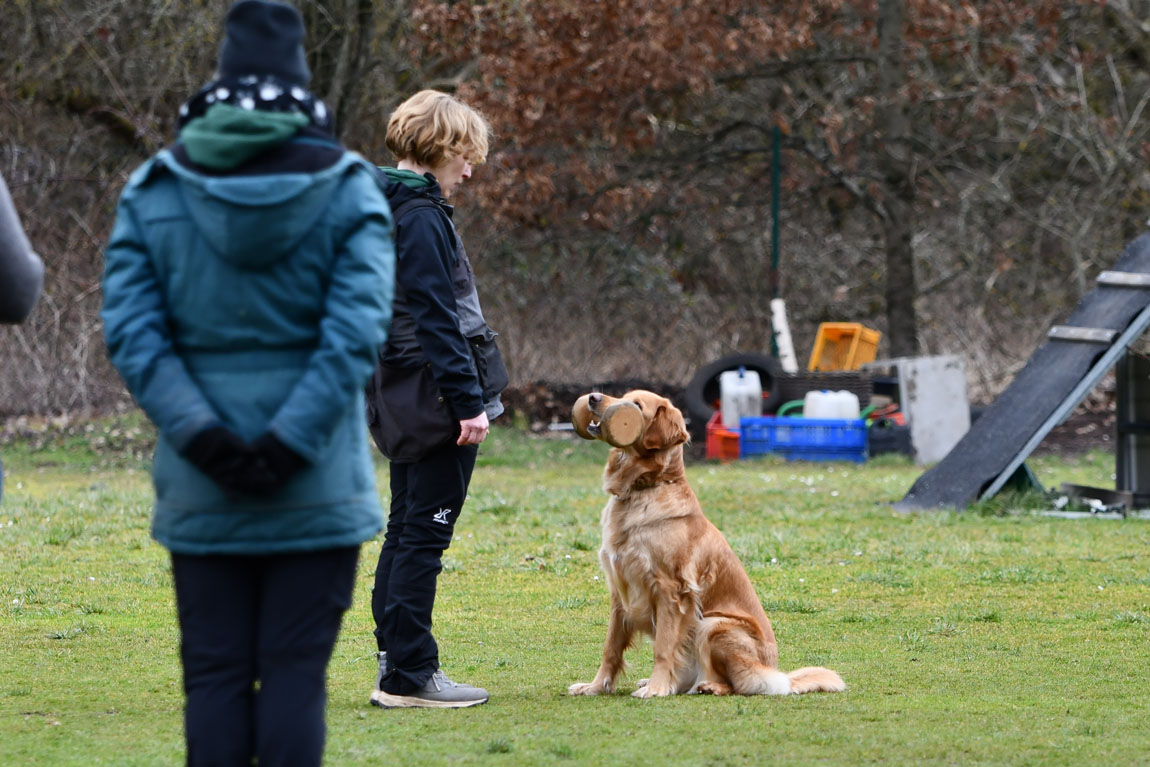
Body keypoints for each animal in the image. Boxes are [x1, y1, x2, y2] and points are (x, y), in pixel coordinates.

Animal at [568, 393, 846, 699]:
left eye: (637, 406)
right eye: (623, 397)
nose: (593, 398)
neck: (642, 490)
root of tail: (773, 670)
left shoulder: (672, 590)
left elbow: (663, 648)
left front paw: (657, 688)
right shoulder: (620, 591)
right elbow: (611, 648)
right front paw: (596, 686)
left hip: (713, 625)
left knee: (738, 683)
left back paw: (707, 685)